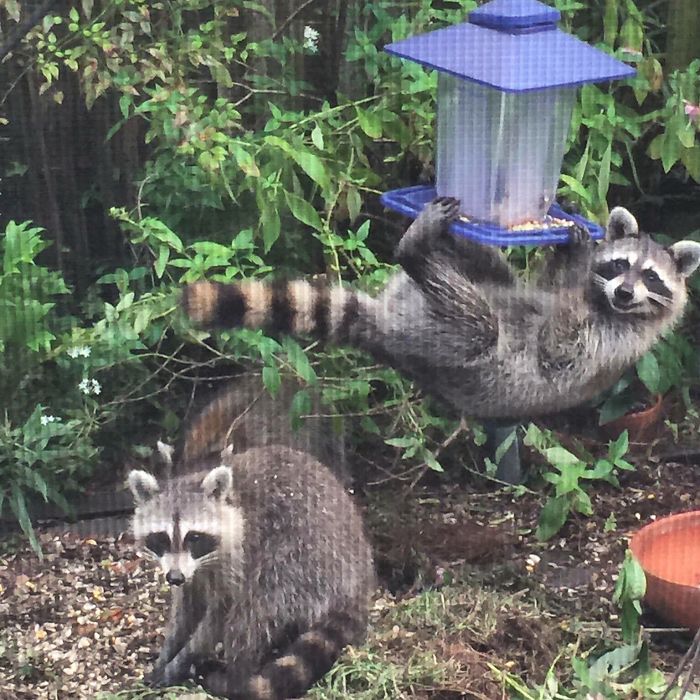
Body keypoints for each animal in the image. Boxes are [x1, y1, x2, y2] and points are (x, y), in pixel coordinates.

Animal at [128, 444, 374, 699]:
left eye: (194, 537)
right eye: (161, 538)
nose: (174, 578)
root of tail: (358, 584)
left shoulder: (238, 556)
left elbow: (220, 614)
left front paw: (182, 660)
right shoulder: (190, 573)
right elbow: (186, 609)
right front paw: (167, 654)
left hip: (303, 559)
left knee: (254, 609)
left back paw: (236, 674)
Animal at [181, 198, 700, 421]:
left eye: (650, 278)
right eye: (621, 265)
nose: (624, 294)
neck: (607, 304)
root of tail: (388, 331)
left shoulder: (610, 343)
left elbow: (558, 346)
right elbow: (544, 287)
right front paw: (570, 252)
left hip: (453, 348)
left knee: (478, 324)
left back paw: (415, 250)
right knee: (488, 268)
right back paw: (439, 237)